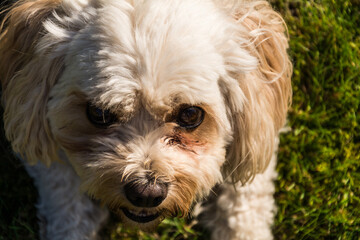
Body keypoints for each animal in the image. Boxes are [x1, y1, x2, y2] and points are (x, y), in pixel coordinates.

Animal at [0, 0, 292, 239]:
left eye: (191, 114)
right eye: (99, 113)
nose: (146, 193)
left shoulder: (260, 131)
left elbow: (245, 207)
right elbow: (67, 203)